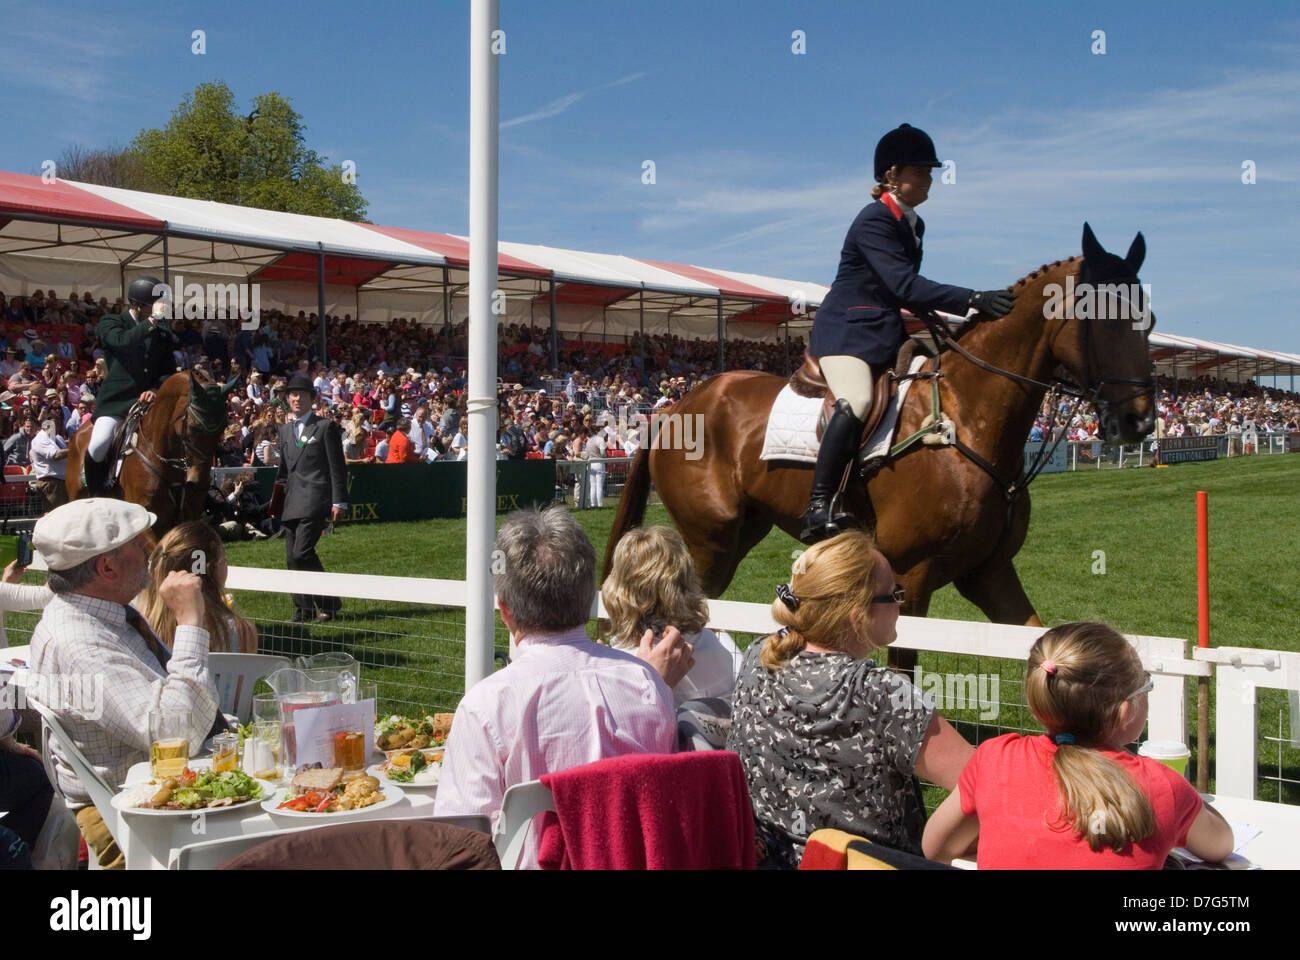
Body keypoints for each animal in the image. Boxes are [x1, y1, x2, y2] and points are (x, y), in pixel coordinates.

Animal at [600, 223, 1159, 634]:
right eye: (1101, 317)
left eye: (1148, 321)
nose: (1139, 420)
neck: (967, 420)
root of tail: (677, 407)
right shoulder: (913, 577)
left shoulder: (991, 574)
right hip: (711, 539)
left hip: (739, 533)